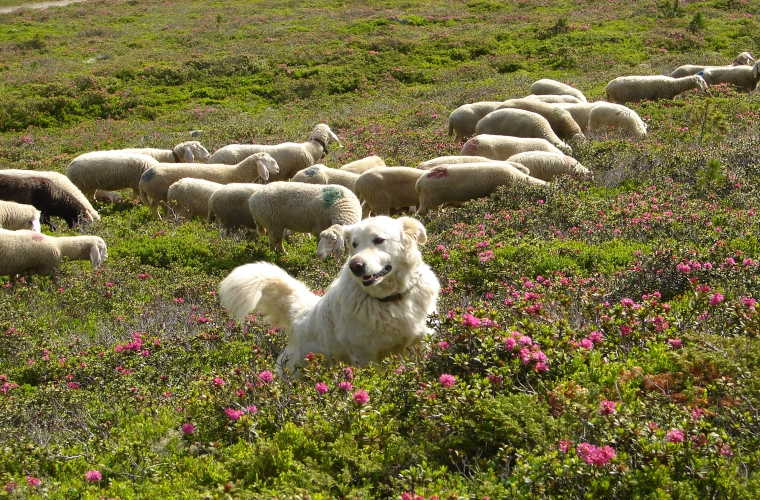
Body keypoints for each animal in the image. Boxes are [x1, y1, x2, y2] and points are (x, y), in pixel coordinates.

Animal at [137, 150, 280, 209]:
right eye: (271, 161)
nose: (278, 170)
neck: (236, 172)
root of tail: (144, 176)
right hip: (156, 194)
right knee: (154, 208)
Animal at [218, 215, 440, 376]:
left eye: (379, 240)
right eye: (354, 245)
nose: (355, 266)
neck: (389, 300)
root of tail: (300, 314)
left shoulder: (421, 341)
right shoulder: (366, 357)